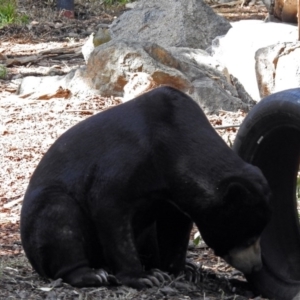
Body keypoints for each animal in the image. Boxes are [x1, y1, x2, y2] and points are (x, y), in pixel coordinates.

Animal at [19, 85, 270, 290]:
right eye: (248, 237)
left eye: (258, 235)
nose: (256, 267)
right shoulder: (128, 159)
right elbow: (108, 206)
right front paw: (145, 277)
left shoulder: (176, 197)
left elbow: (175, 227)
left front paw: (182, 270)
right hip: (46, 212)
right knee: (60, 218)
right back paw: (93, 274)